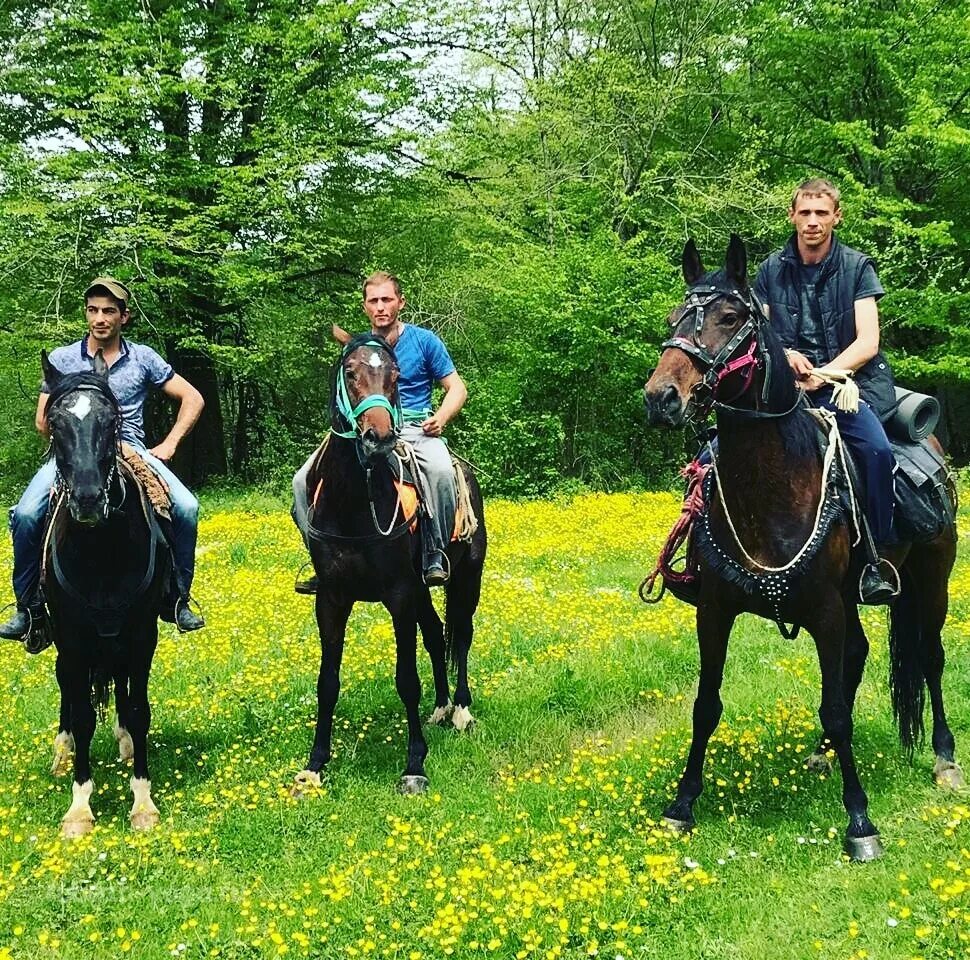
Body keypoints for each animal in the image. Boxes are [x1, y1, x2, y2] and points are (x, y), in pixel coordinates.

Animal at [40, 350, 170, 832]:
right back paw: (62, 755)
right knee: (66, 688)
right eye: (55, 422)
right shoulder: (73, 639)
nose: (89, 499)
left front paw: (143, 802)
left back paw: (126, 743)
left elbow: (138, 709)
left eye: (110, 420)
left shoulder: (141, 635)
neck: (100, 552)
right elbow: (80, 714)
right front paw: (79, 808)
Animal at [288, 330, 484, 796]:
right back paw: (441, 707)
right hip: (423, 592)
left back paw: (461, 710)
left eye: (395, 375)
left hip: (467, 578)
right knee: (435, 634)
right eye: (350, 371)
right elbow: (327, 682)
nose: (378, 439)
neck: (354, 501)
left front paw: (415, 765)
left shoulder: (398, 596)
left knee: (462, 635)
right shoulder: (332, 600)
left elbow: (406, 680)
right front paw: (315, 766)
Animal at [644, 236, 960, 860]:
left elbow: (837, 709)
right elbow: (705, 705)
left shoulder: (824, 611)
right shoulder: (715, 612)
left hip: (930, 581)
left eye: (730, 317)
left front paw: (860, 821)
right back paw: (821, 756)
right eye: (673, 319)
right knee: (859, 655)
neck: (772, 486)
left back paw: (943, 758)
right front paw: (682, 804)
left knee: (929, 656)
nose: (661, 398)